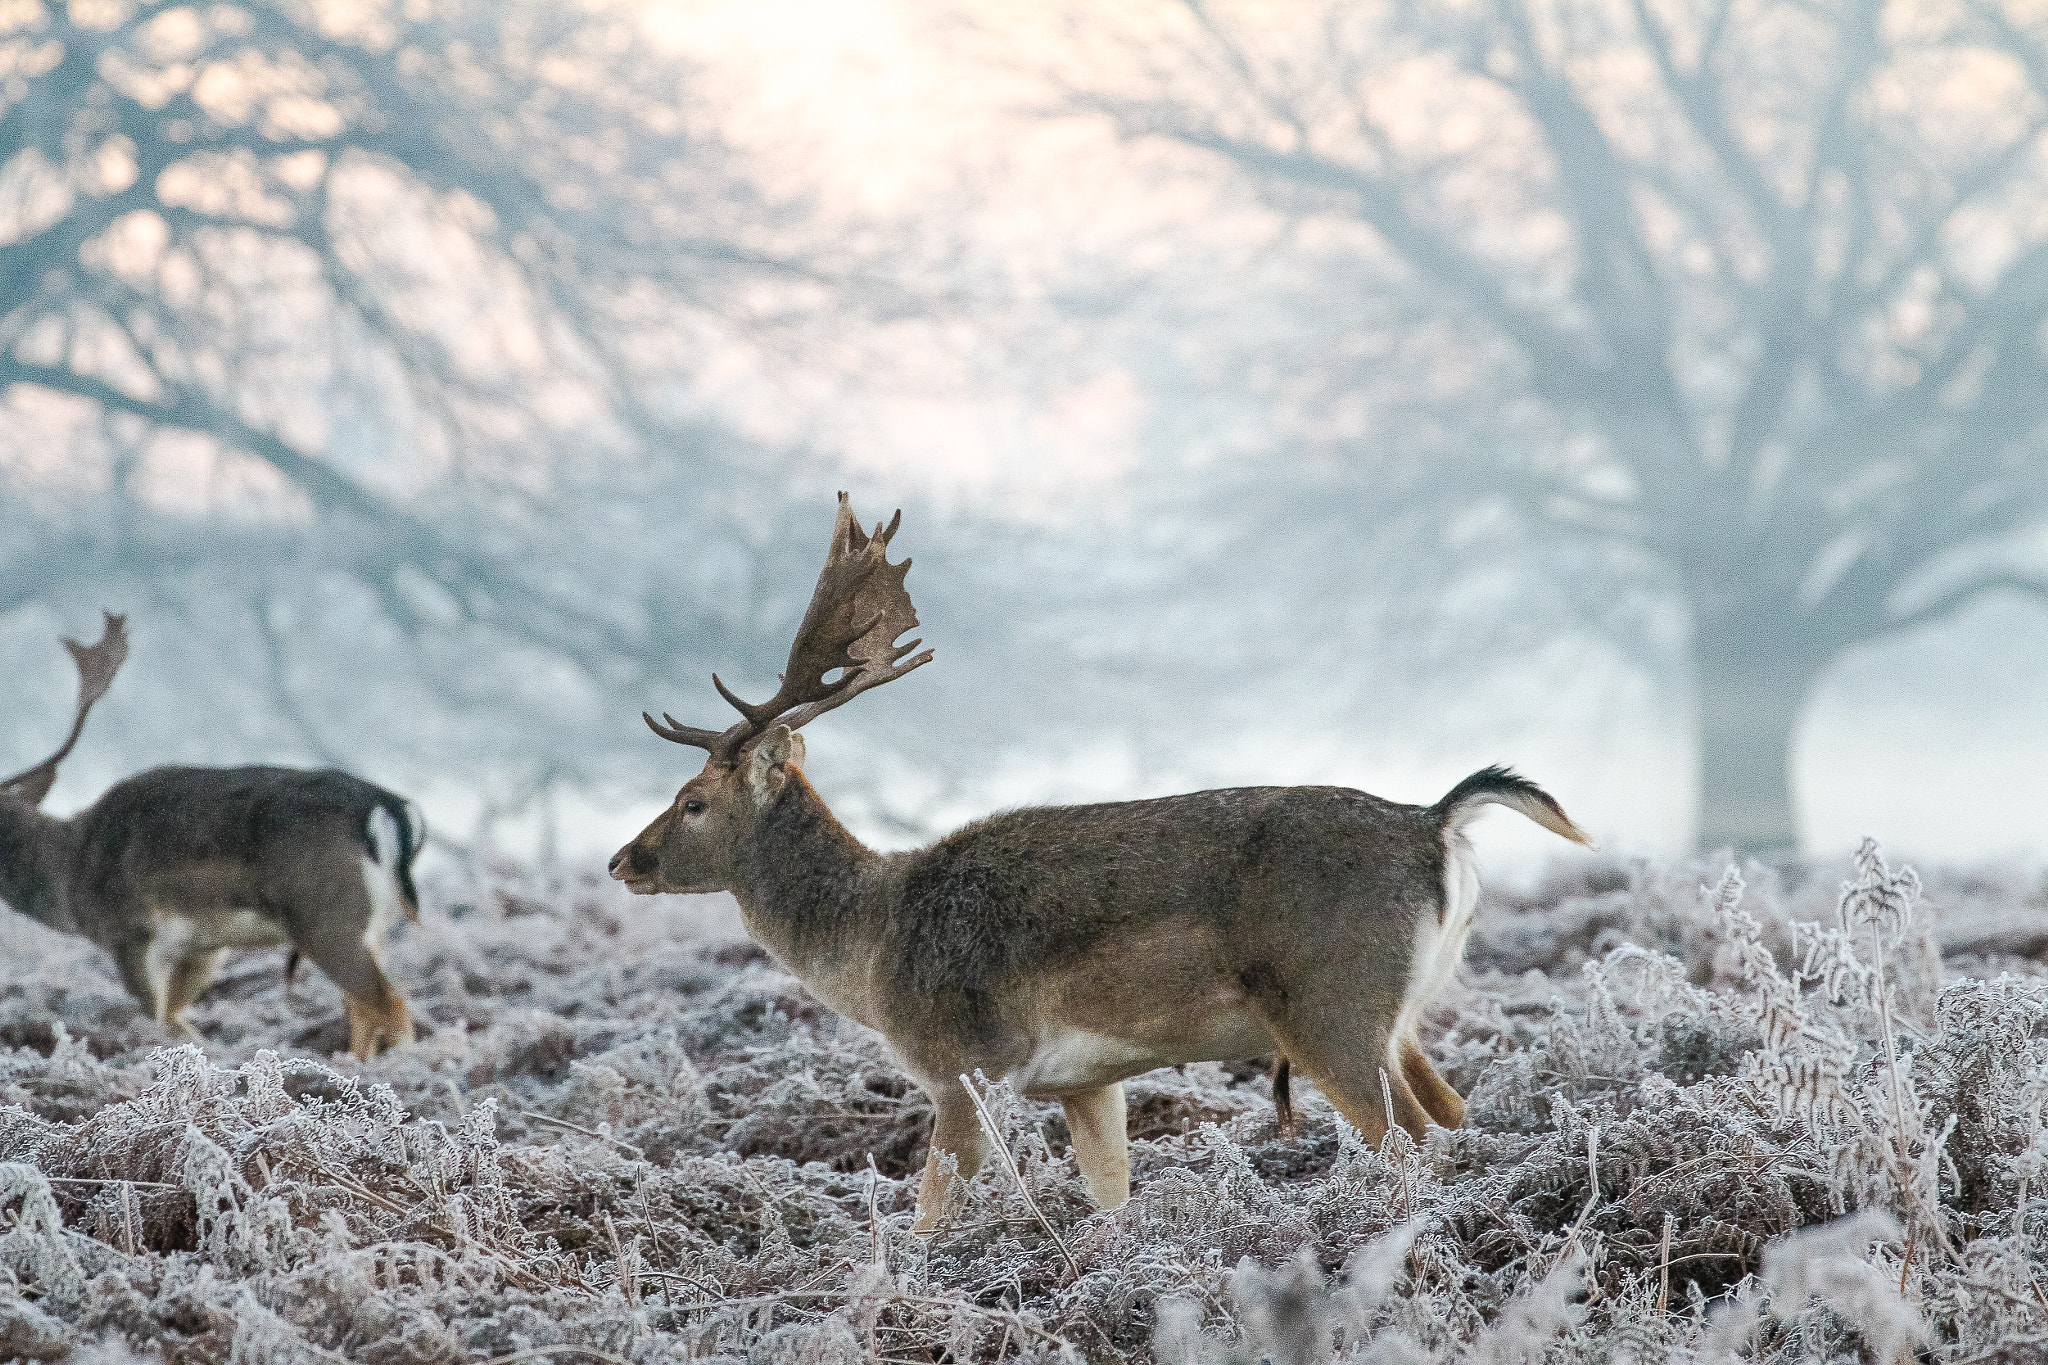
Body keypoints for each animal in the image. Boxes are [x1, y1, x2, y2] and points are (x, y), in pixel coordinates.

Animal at [0, 614, 425, 1060]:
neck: (70, 876)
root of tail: (387, 806)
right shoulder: (203, 947)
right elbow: (177, 1018)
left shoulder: (131, 932)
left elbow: (157, 1018)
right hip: (374, 925)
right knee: (364, 1010)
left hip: (328, 917)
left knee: (390, 1004)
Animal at [609, 495, 1593, 1230]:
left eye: (693, 800)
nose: (623, 858)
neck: (875, 948)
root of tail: (1436, 822)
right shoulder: (1088, 1081)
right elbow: (1109, 1194)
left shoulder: (963, 1061)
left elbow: (932, 1214)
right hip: (1402, 1009)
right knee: (1456, 1115)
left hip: (1331, 1000)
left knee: (1416, 1138)